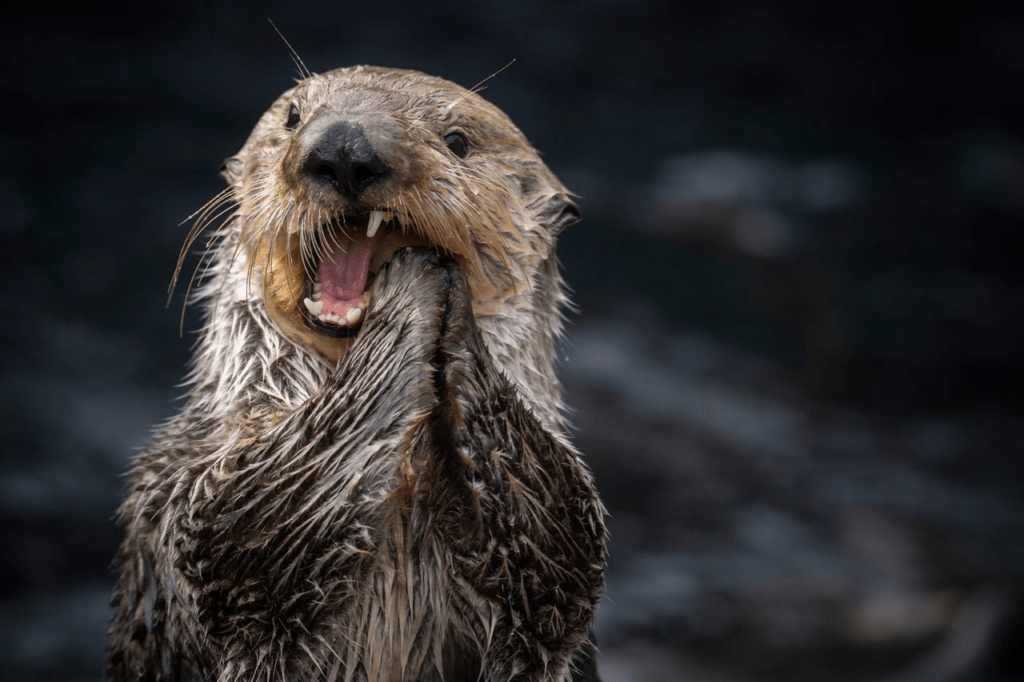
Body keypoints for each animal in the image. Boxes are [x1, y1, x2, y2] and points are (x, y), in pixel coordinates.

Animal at [108, 65, 602, 679]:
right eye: (294, 116)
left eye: (457, 140)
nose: (344, 149)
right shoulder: (185, 488)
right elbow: (245, 518)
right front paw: (411, 291)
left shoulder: (554, 575)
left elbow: (558, 543)